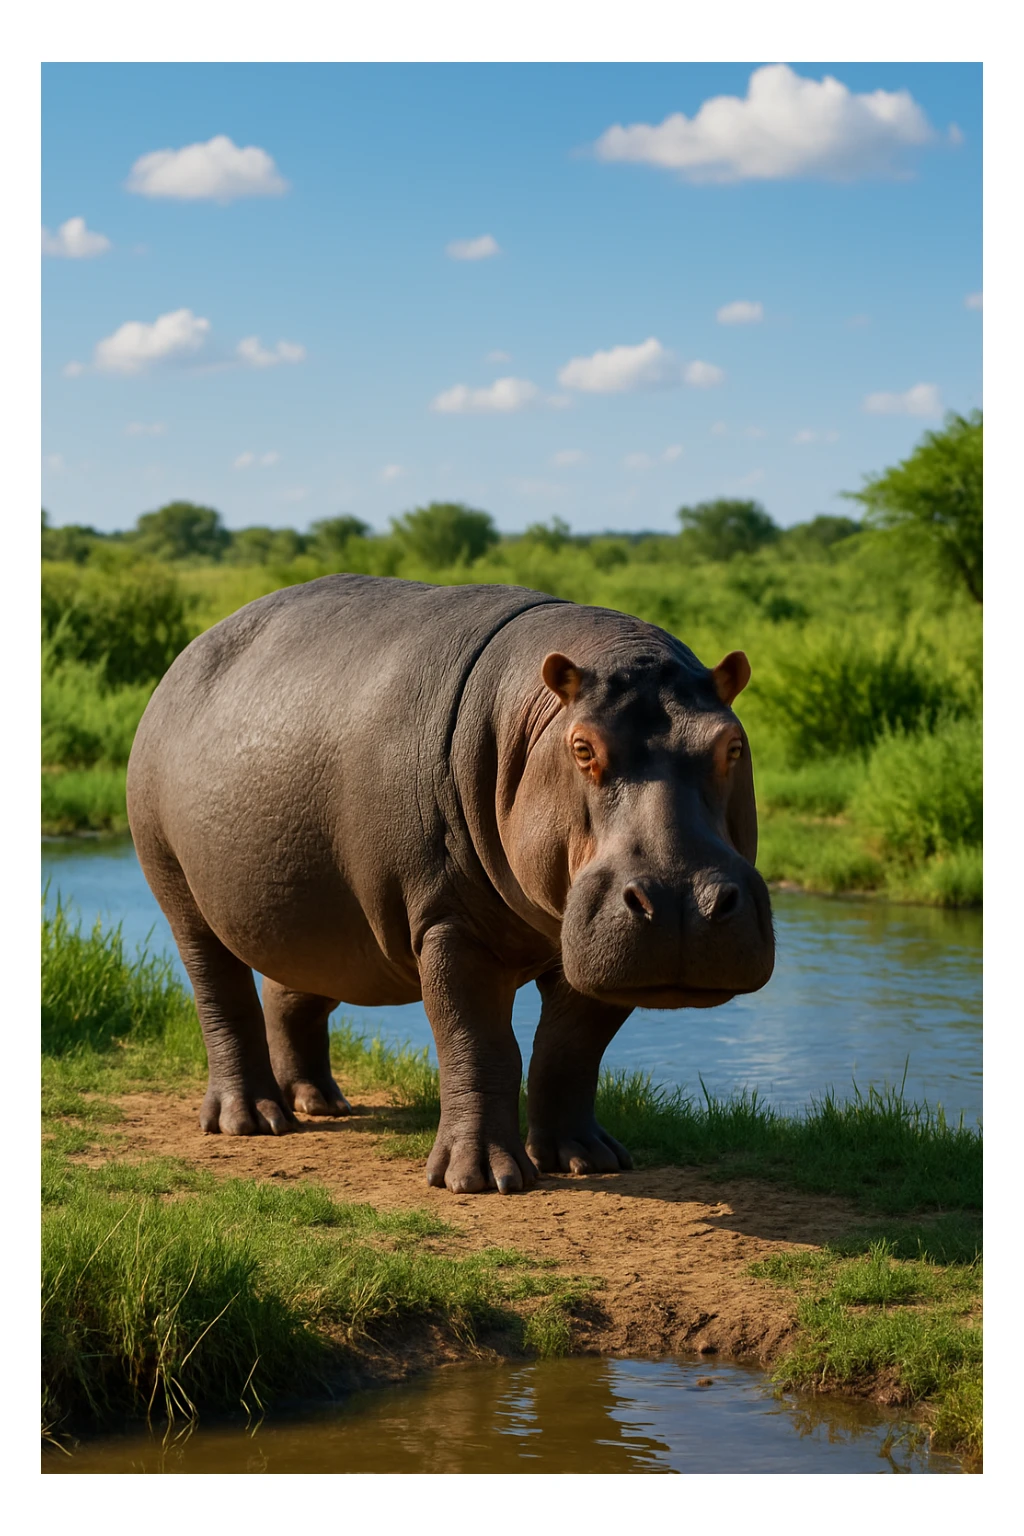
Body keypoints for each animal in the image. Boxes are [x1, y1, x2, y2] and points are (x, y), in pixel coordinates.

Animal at [126, 575, 774, 1194]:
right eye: (582, 746)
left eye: (732, 744)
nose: (680, 903)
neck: (529, 721)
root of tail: (185, 657)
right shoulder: (448, 922)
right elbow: (479, 1043)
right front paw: (481, 1179)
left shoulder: (590, 949)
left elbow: (571, 1048)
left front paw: (588, 1159)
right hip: (179, 889)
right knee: (221, 992)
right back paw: (251, 1120)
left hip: (320, 924)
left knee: (293, 988)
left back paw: (318, 1102)